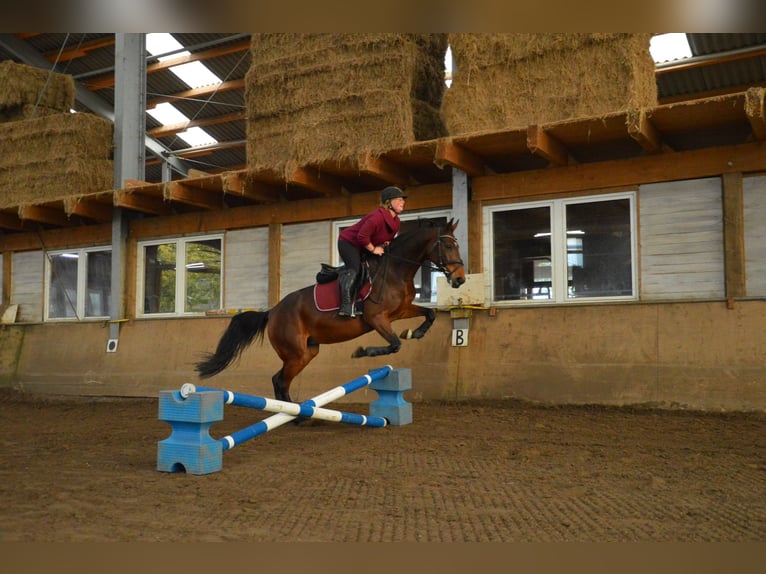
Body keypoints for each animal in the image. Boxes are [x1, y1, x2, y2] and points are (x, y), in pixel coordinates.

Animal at [195, 219, 464, 404]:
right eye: (448, 245)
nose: (460, 279)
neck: (396, 269)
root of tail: (272, 312)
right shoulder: (376, 318)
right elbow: (395, 344)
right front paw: (362, 351)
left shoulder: (401, 311)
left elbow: (429, 315)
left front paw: (415, 333)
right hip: (295, 353)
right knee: (280, 380)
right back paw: (296, 415)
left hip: (307, 352)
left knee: (279, 379)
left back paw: (296, 415)